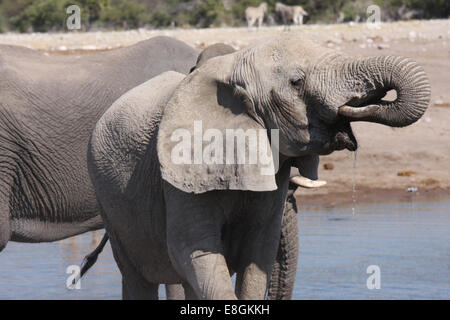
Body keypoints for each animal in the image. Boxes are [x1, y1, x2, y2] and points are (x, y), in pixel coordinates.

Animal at [87, 33, 428, 298]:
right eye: (297, 82)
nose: (369, 101)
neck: (233, 66)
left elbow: (258, 253)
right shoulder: (180, 176)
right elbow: (194, 251)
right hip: (107, 198)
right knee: (137, 277)